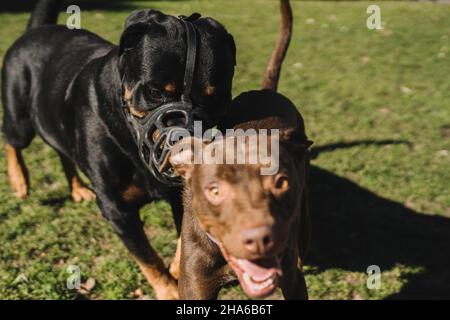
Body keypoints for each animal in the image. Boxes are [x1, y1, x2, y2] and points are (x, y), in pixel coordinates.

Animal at [1, 0, 236, 300]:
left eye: (215, 97)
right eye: (155, 93)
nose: (182, 139)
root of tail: (36, 29)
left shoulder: (182, 194)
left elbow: (184, 236)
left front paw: (177, 267)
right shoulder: (116, 208)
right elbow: (148, 258)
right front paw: (168, 289)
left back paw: (77, 188)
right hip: (20, 118)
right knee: (11, 139)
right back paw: (19, 181)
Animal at [166, 0, 312, 300]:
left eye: (281, 182)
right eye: (214, 190)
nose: (259, 239)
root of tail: (266, 91)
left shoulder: (293, 281)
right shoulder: (195, 282)